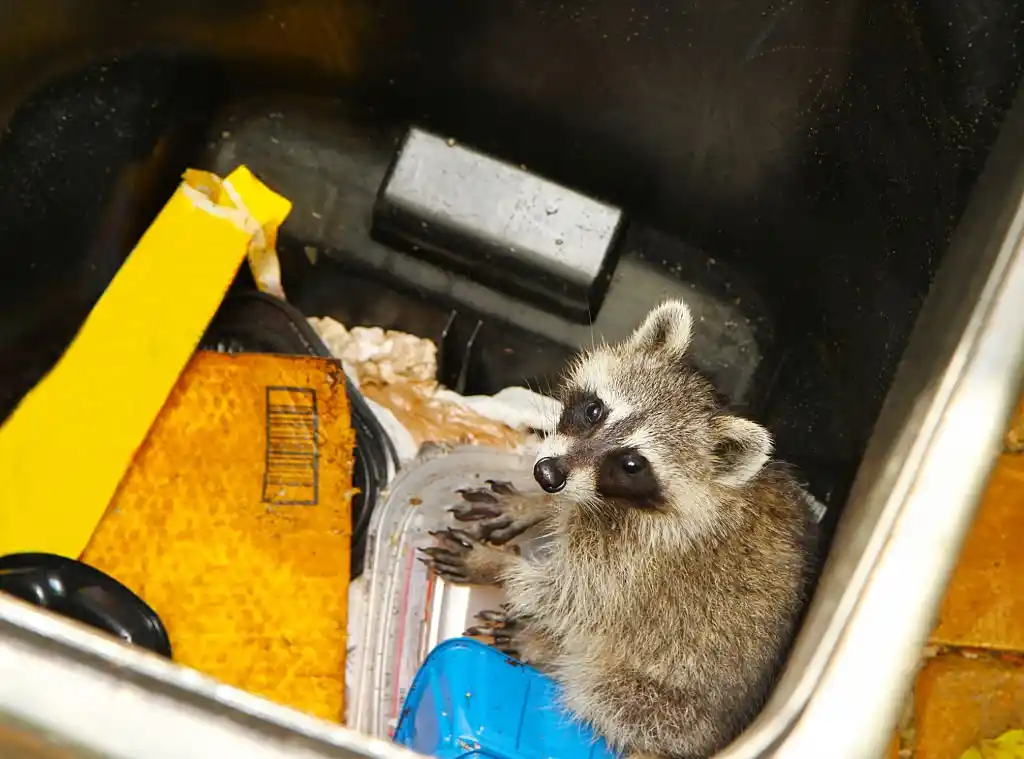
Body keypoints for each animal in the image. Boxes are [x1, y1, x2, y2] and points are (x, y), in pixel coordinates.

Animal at [419, 299, 819, 753]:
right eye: (595, 411)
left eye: (631, 464)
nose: (546, 474)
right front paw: (533, 504)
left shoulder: (633, 564)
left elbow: (567, 595)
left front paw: (494, 564)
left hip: (662, 702)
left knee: (599, 688)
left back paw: (546, 650)